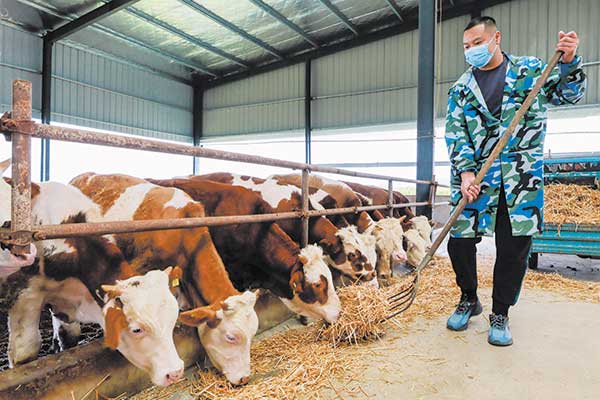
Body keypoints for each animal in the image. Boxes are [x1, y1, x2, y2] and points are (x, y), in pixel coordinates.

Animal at [2, 180, 184, 386]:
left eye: (173, 318)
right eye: (136, 329)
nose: (175, 372)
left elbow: (68, 336)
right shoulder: (25, 294)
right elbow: (25, 352)